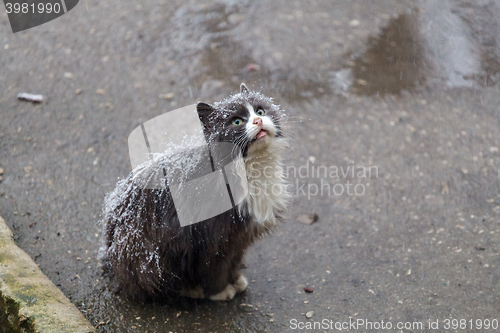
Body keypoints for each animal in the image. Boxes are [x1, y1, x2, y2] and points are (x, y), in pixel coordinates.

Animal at [101, 83, 290, 300]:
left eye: (260, 111)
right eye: (236, 121)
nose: (258, 120)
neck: (249, 167)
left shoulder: (239, 239)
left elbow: (234, 261)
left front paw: (235, 280)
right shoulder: (212, 239)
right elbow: (214, 268)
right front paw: (220, 291)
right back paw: (192, 290)